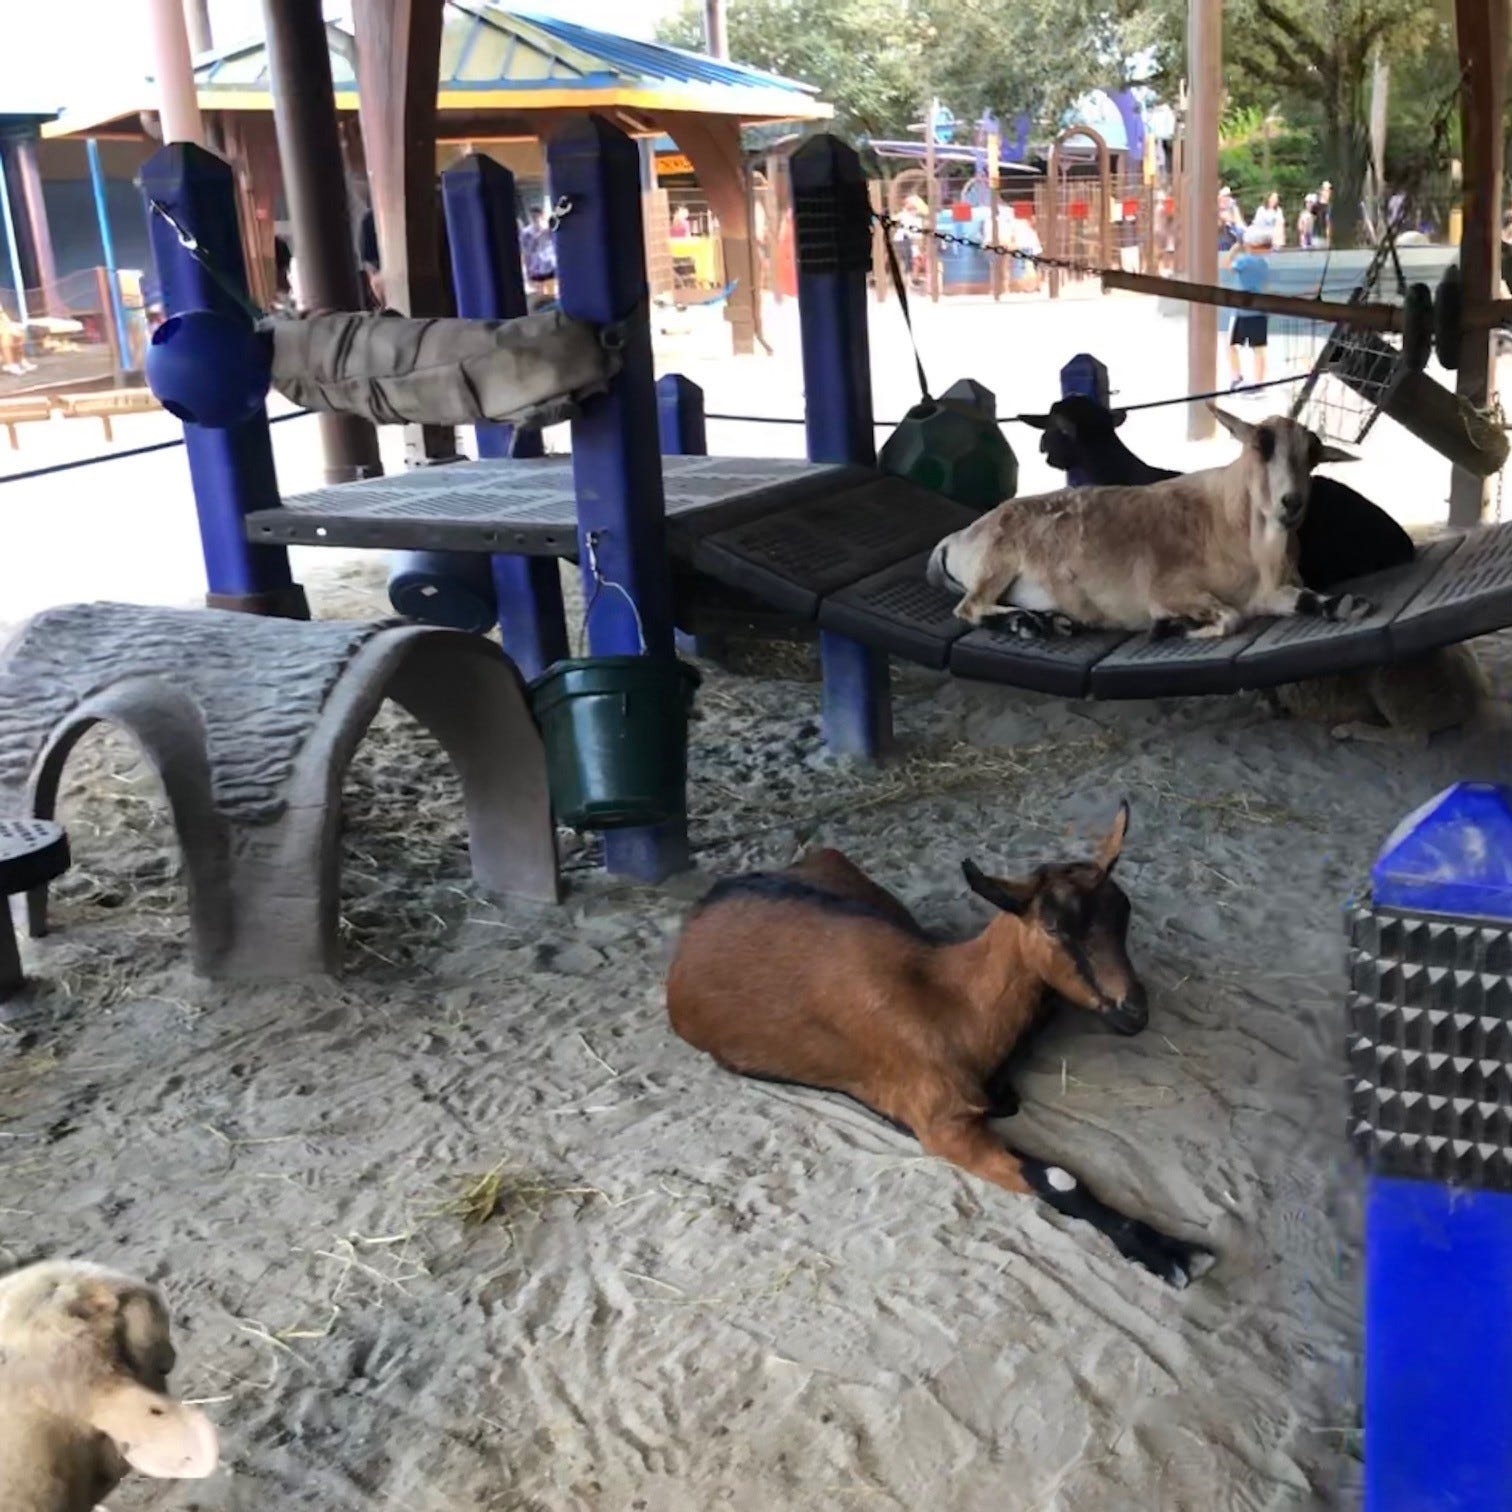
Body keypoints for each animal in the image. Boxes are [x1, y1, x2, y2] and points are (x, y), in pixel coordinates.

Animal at [665, 805, 1214, 1287]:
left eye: (1124, 912)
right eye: (1055, 927)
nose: (1134, 1010)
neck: (947, 998)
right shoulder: (939, 1122)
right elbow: (1060, 1178)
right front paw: (1172, 1255)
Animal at [927, 408, 1372, 639]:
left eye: (1314, 457)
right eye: (1259, 447)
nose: (1291, 503)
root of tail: (956, 539)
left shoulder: (1269, 593)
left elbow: (1304, 600)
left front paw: (1343, 604)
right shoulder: (1171, 588)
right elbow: (1229, 618)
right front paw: (1173, 628)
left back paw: (1048, 621)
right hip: (996, 563)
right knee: (969, 607)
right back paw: (1024, 623)